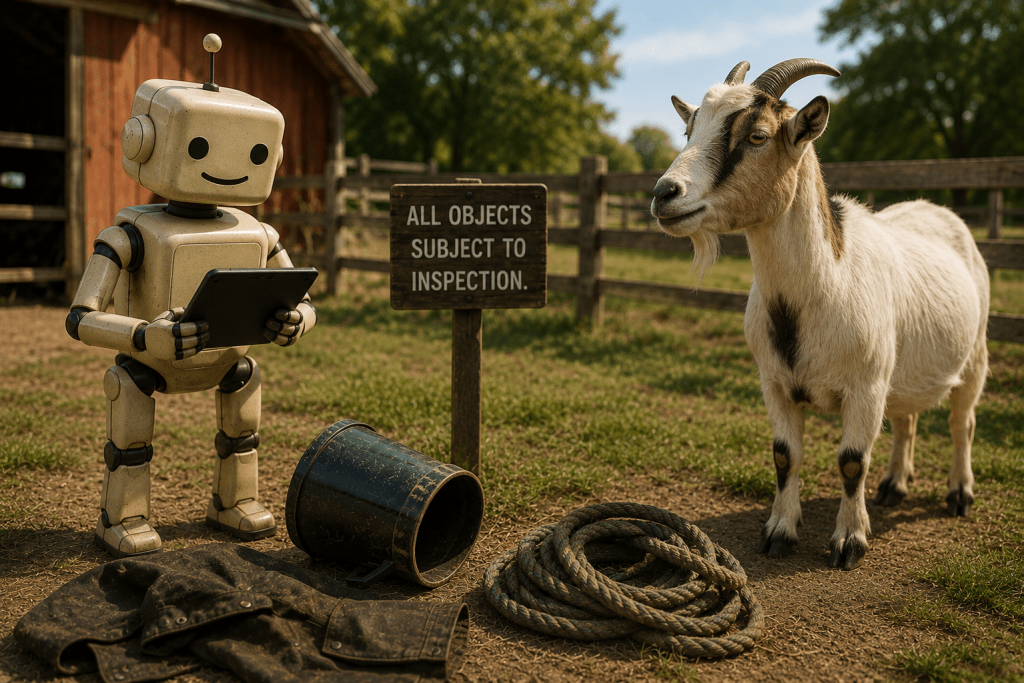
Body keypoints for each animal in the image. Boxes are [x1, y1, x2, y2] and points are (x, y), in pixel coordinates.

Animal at [651, 59, 990, 570]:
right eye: (690, 129)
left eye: (758, 136)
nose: (664, 193)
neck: (824, 285)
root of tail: (939, 211)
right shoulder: (774, 382)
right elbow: (784, 455)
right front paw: (778, 532)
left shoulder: (865, 386)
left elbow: (852, 461)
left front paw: (849, 542)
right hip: (902, 370)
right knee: (907, 419)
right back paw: (893, 486)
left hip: (975, 355)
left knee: (962, 423)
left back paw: (959, 494)